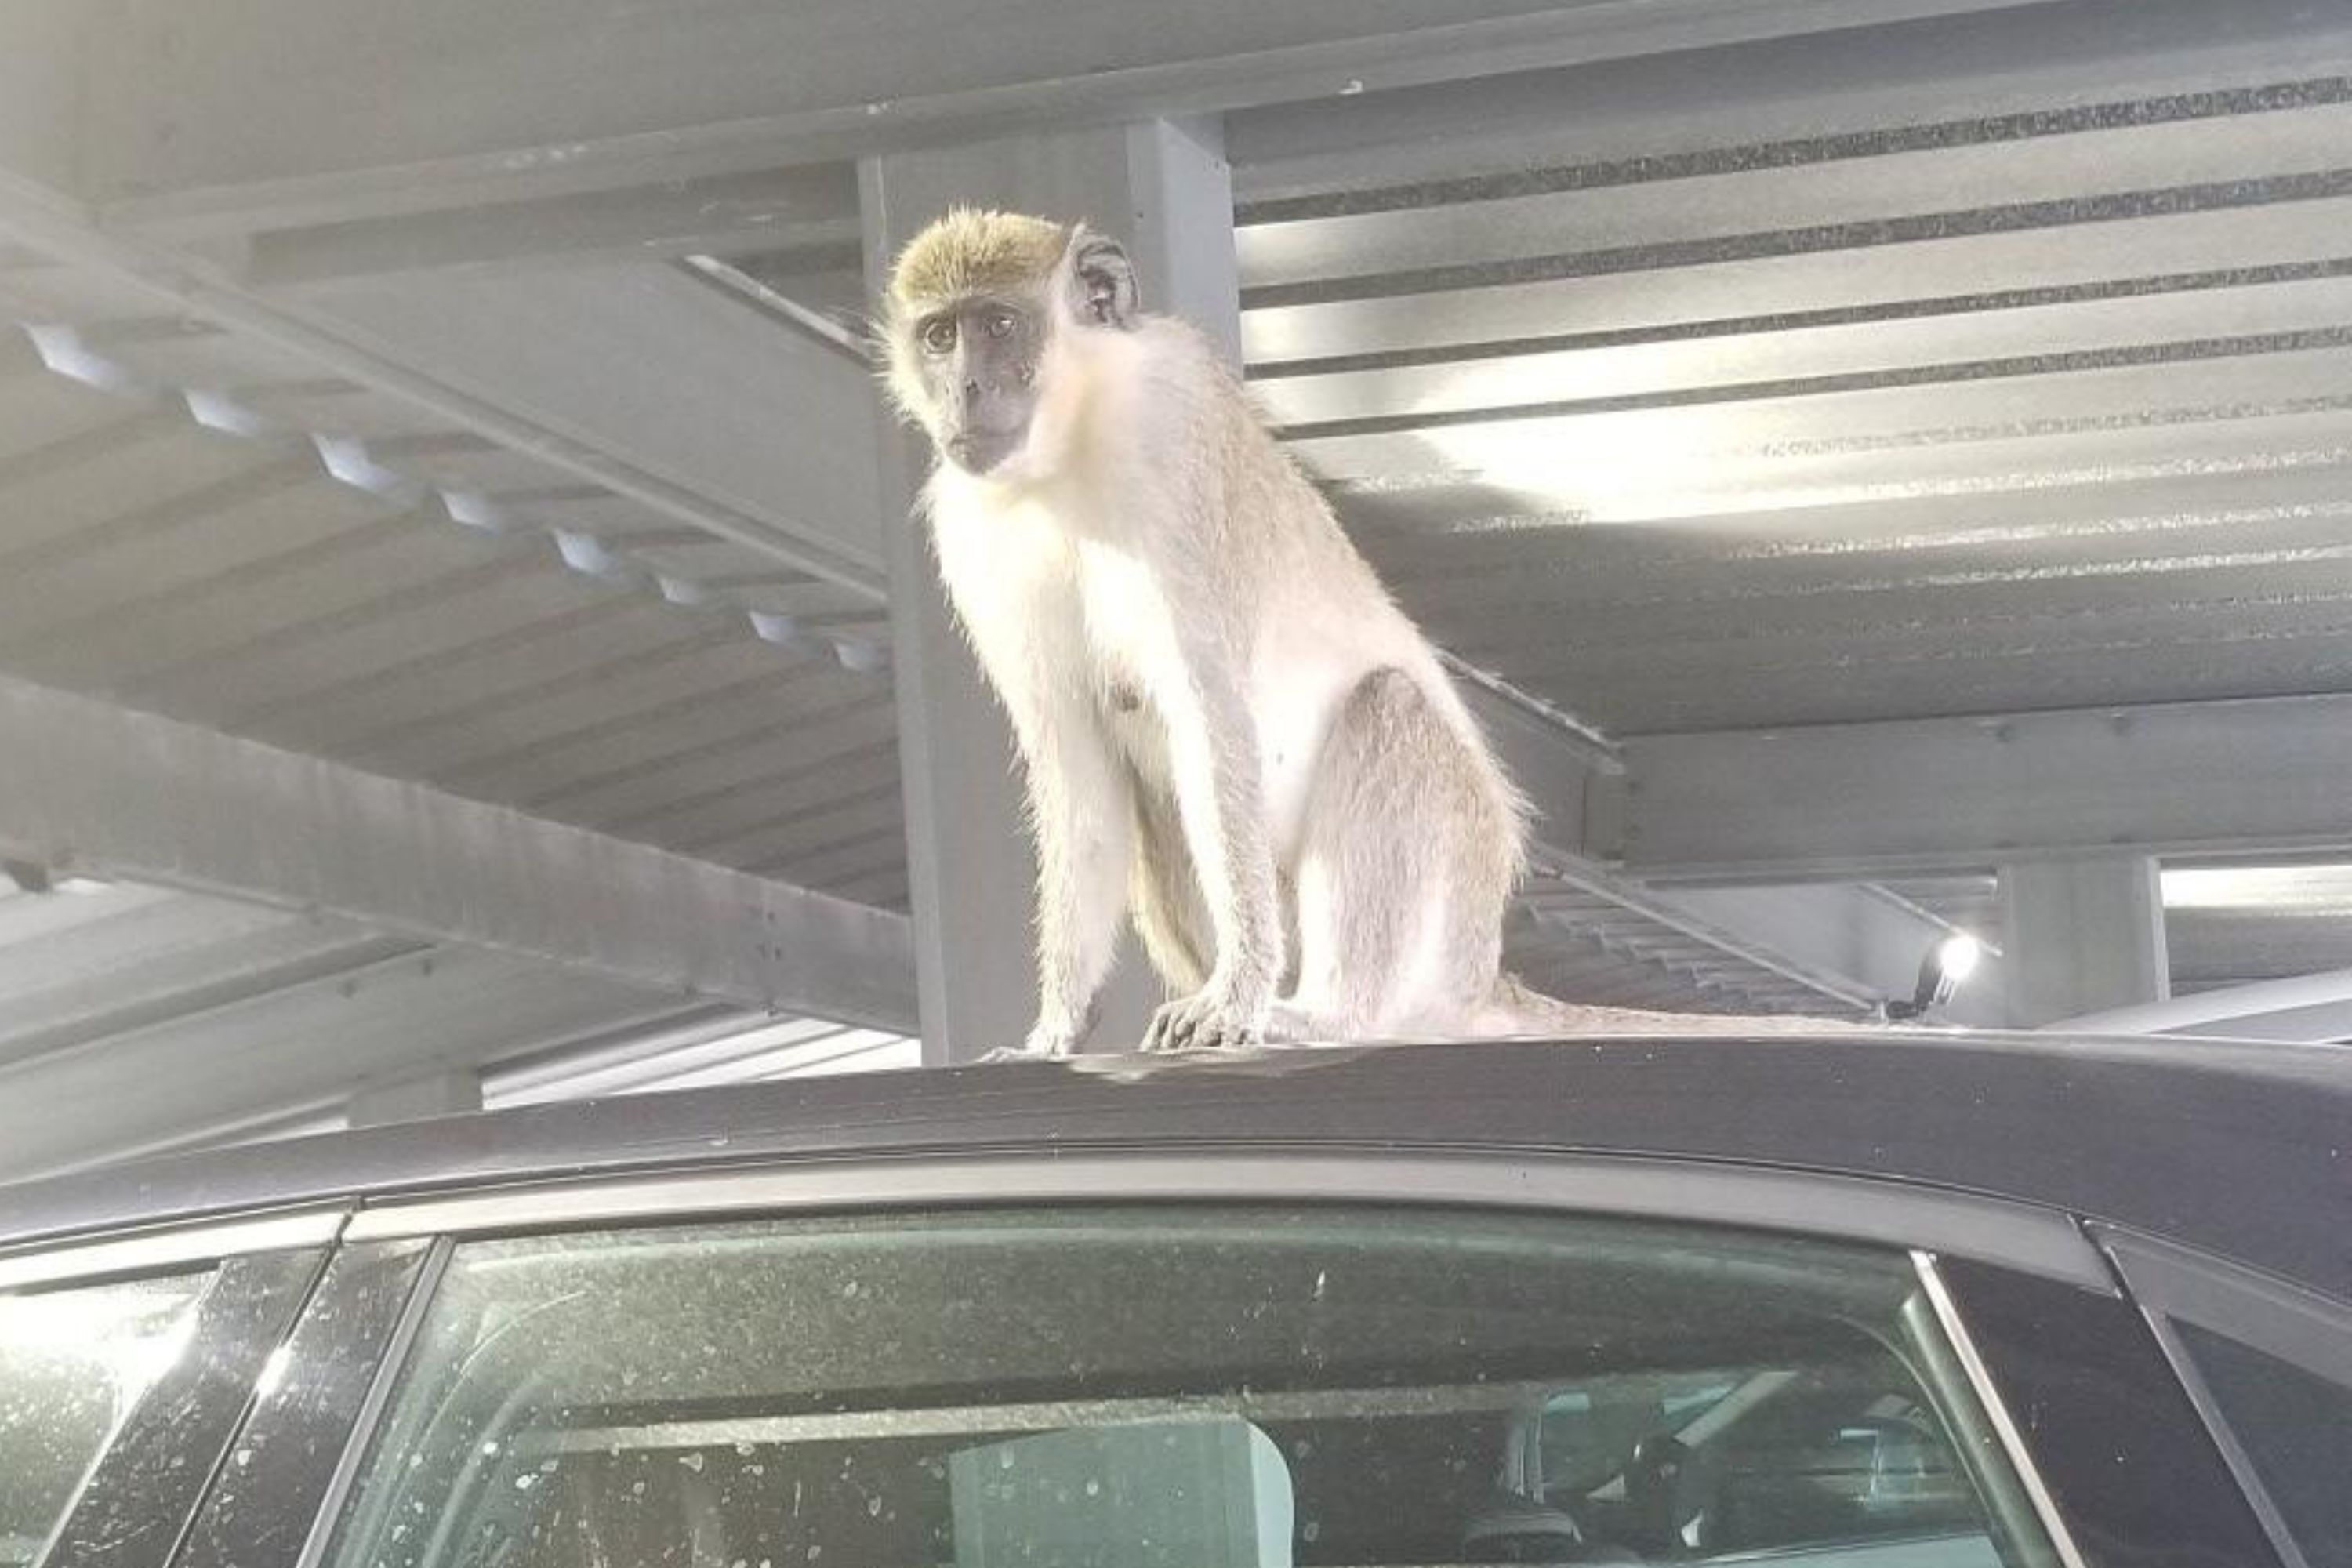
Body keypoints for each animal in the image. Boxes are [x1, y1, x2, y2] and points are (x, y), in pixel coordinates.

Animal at [880, 211, 1835, 1053]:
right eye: (940, 336)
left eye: (1000, 324)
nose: (964, 391)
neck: (1068, 454)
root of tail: (1483, 977)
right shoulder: (973, 535)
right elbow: (1078, 765)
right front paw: (1053, 1029)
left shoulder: (1173, 441)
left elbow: (1209, 717)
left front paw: (1236, 991)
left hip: (1448, 901)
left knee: (1389, 706)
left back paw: (1329, 1014)